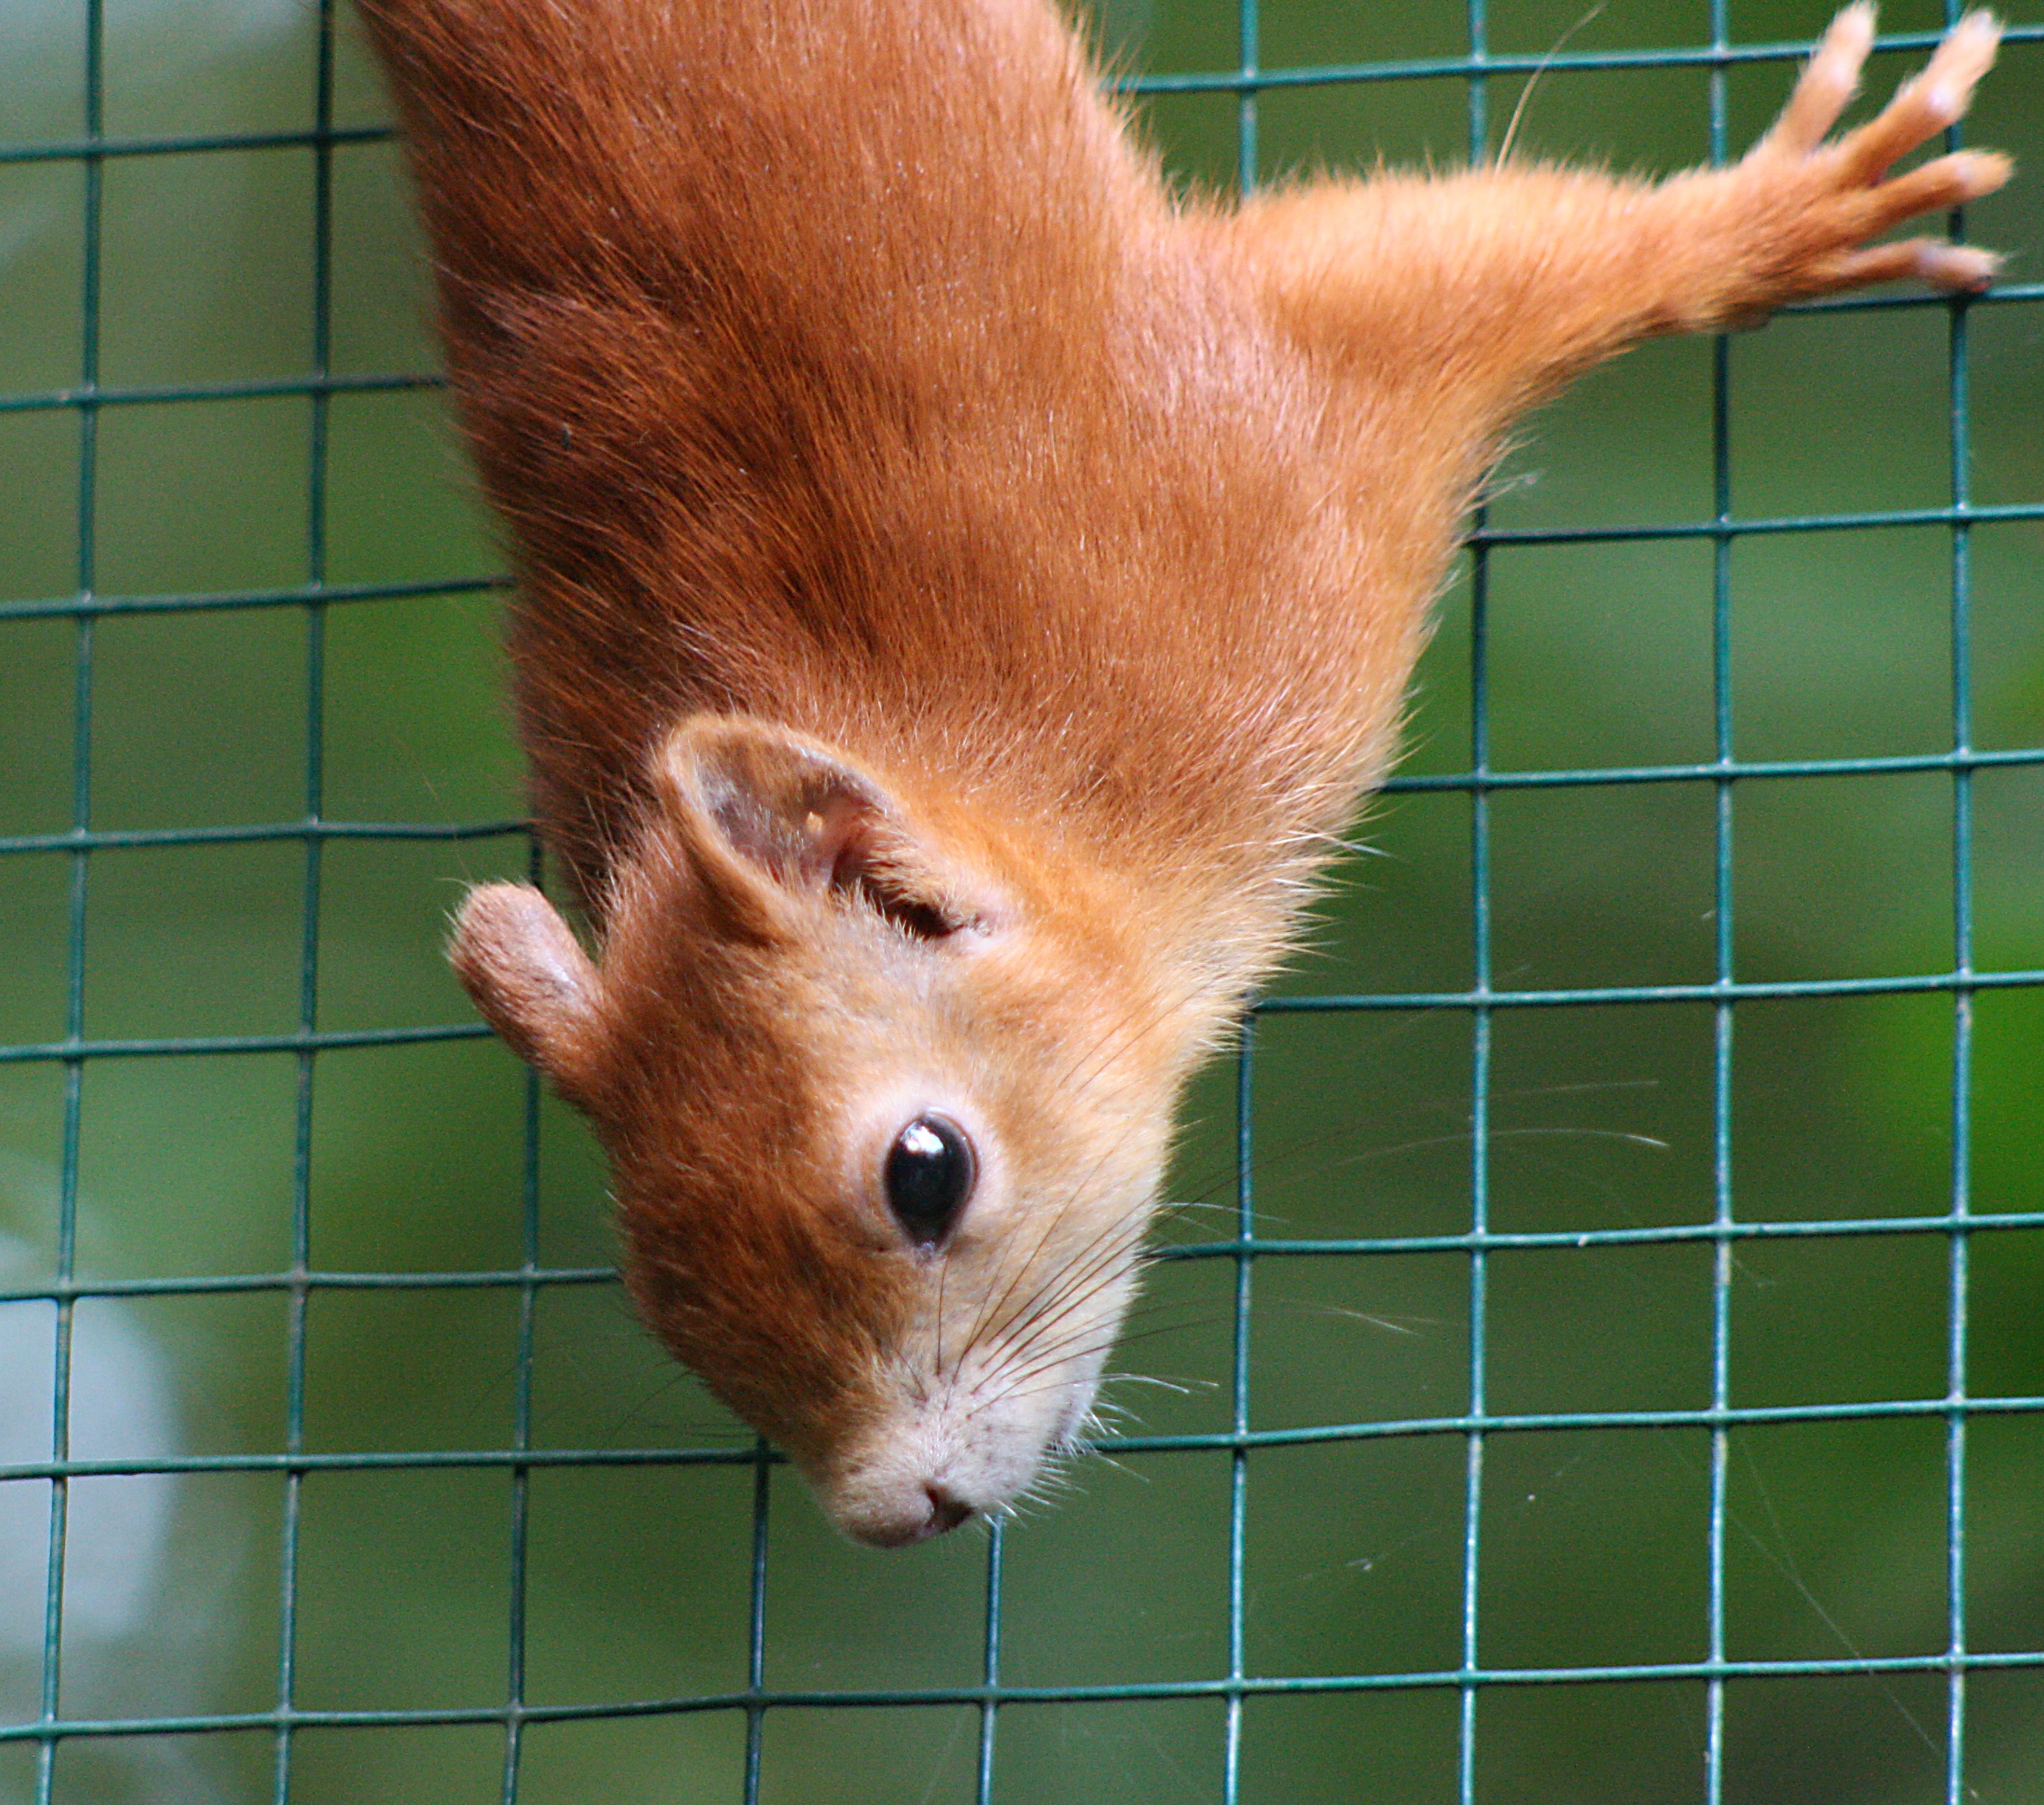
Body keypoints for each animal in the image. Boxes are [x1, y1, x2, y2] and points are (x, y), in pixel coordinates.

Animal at [355, 0, 2011, 1545]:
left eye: (924, 1170)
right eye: (659, 1287)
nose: (895, 1512)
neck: (1059, 780)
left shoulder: (1253, 476)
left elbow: (1471, 257)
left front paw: (1769, 214)